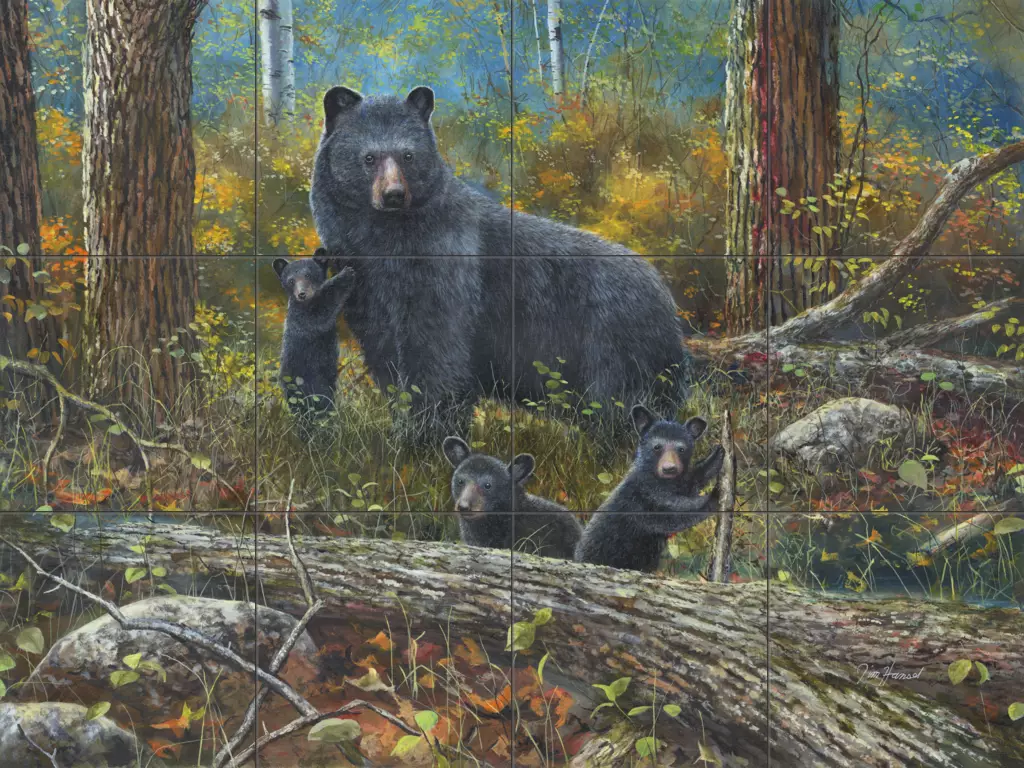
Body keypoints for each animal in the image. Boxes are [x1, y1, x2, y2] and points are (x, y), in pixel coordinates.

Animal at [273, 255, 354, 419]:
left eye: (308, 275)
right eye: (291, 280)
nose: (302, 294)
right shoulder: (302, 319)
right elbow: (320, 313)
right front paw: (345, 274)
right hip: (306, 379)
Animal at [310, 87, 691, 446]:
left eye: (407, 155)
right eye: (369, 157)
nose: (393, 195)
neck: (385, 241)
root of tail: (664, 294)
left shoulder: (445, 265)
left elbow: (438, 346)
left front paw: (426, 433)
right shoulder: (366, 284)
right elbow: (384, 350)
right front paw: (404, 424)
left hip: (616, 339)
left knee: (621, 399)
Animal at [574, 404, 725, 573]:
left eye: (681, 449)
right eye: (657, 447)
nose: (669, 468)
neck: (661, 482)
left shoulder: (676, 484)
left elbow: (691, 481)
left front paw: (716, 456)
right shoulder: (642, 497)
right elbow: (671, 514)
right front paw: (714, 496)